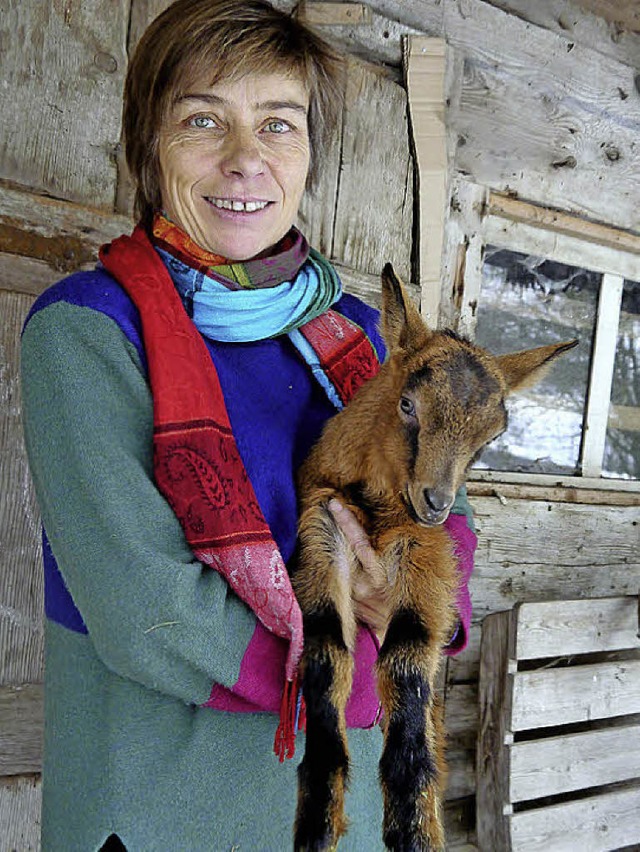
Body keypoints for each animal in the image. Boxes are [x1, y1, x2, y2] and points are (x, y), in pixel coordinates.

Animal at [292, 262, 576, 848]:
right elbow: (326, 650)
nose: (438, 502)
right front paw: (317, 820)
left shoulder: (426, 553)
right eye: (407, 405)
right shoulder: (321, 526)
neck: (378, 503)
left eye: (489, 438)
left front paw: (413, 824)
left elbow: (406, 659)